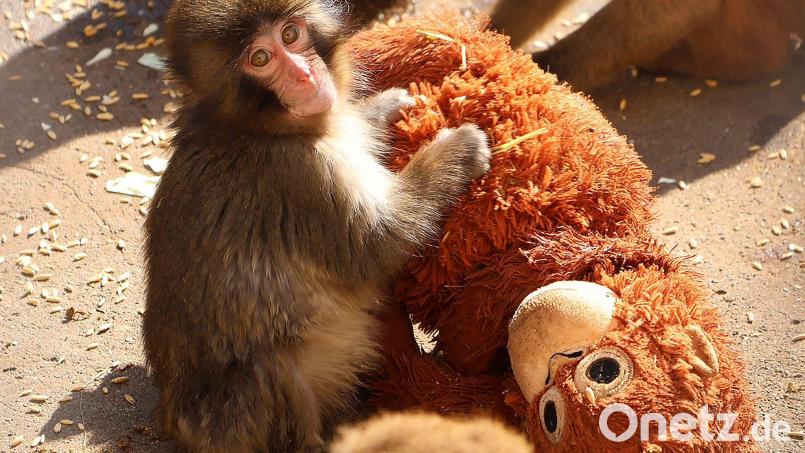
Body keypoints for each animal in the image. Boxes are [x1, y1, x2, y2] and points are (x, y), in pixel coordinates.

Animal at [142, 0, 491, 452]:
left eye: (290, 35)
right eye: (260, 59)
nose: (304, 76)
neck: (254, 128)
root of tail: (169, 418)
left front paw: (383, 107)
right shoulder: (301, 175)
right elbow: (376, 244)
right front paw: (457, 150)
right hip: (231, 421)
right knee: (268, 369)